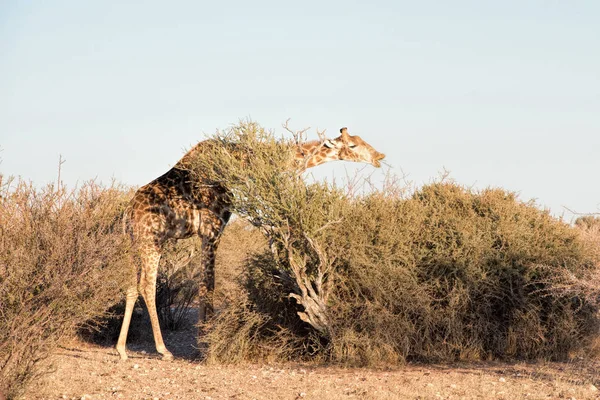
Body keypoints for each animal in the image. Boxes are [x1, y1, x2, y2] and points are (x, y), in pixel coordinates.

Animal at [116, 126, 384, 360]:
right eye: (352, 145)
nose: (379, 156)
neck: (238, 160)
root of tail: (128, 214)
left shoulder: (208, 233)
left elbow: (205, 286)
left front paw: (204, 341)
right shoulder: (212, 229)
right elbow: (208, 287)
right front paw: (205, 346)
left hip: (134, 244)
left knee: (131, 286)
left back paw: (121, 350)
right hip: (152, 242)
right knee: (146, 286)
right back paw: (164, 350)